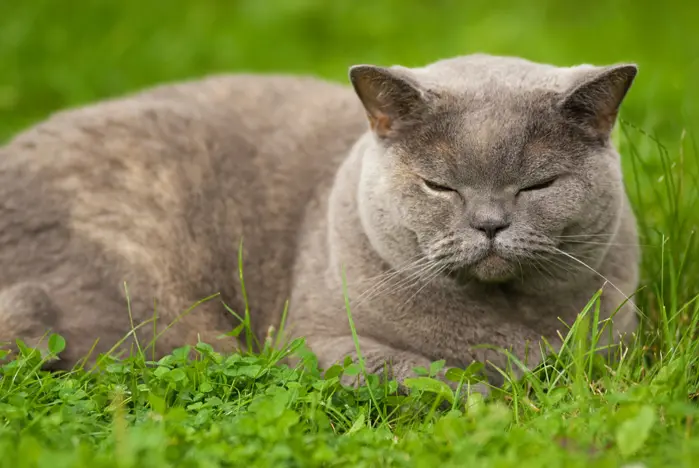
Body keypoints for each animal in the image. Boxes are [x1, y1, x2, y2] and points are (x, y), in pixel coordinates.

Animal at [0, 54, 640, 392]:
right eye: (439, 186)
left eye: (537, 186)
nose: (489, 224)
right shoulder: (313, 344)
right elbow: (410, 369)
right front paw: (485, 395)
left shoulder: (617, 344)